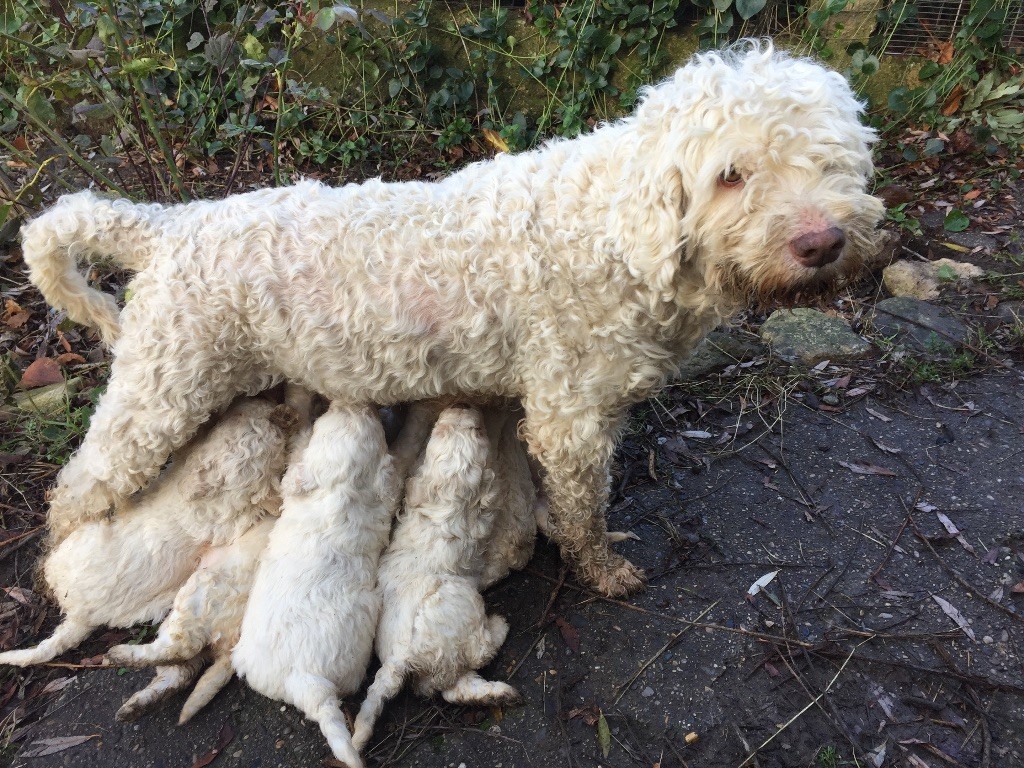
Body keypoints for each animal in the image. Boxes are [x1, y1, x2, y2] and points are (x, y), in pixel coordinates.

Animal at [24, 41, 888, 598]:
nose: (822, 243)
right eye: (730, 175)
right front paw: (601, 570)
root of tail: (169, 224)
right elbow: (582, 507)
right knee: (76, 486)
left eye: (829, 158)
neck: (617, 232)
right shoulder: (570, 420)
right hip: (162, 388)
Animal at [352, 405, 520, 753]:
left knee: (455, 689)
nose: (461, 405)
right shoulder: (486, 505)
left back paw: (498, 695)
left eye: (438, 431)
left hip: (442, 664)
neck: (445, 503)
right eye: (476, 432)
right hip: (464, 608)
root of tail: (400, 659)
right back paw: (499, 626)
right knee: (480, 652)